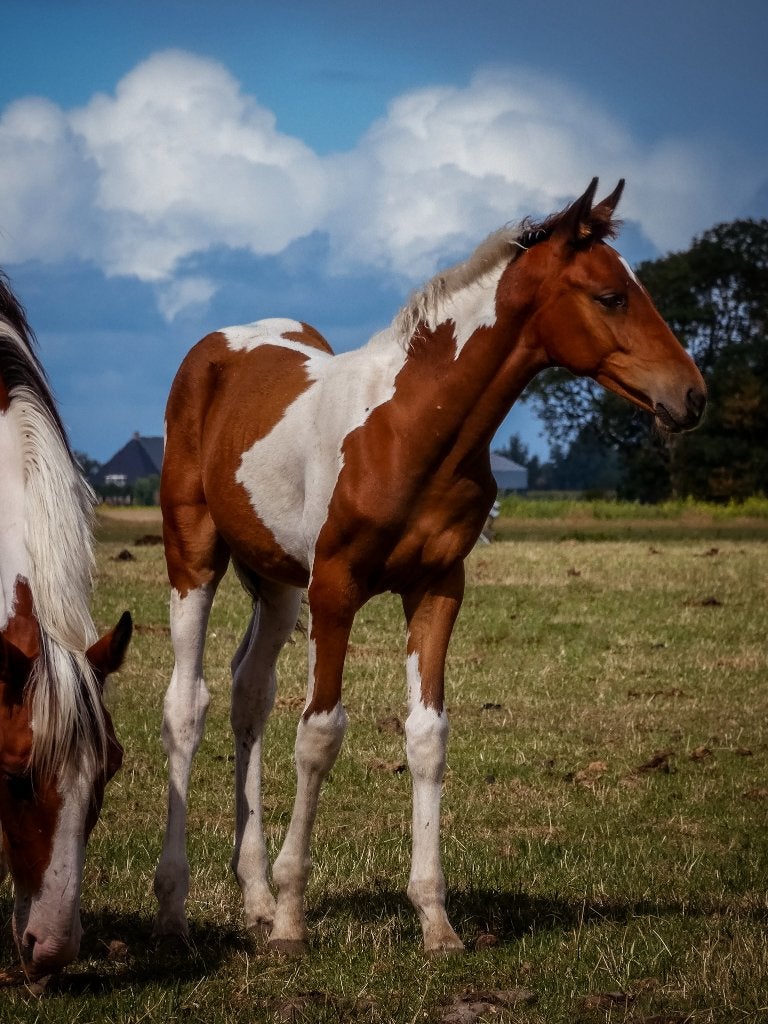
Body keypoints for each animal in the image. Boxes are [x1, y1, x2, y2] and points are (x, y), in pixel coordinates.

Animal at [154, 179, 706, 954]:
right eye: (609, 296)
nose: (691, 396)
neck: (410, 428)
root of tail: (216, 346)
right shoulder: (336, 590)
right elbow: (320, 735)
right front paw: (294, 918)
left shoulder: (438, 588)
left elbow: (427, 737)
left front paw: (435, 920)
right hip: (196, 555)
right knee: (187, 705)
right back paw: (177, 908)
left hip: (278, 583)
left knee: (249, 696)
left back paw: (254, 898)